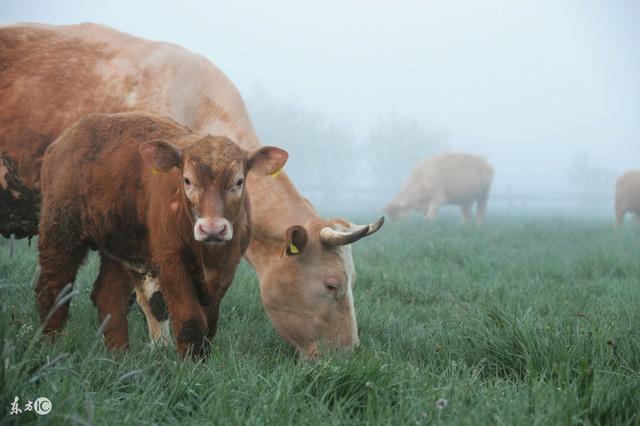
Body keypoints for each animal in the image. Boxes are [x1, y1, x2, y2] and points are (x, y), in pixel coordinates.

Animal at [37, 112, 288, 356]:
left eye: (239, 181)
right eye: (187, 180)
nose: (212, 229)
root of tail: (65, 138)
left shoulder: (227, 267)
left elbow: (210, 324)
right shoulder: (170, 262)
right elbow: (191, 322)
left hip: (119, 246)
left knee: (109, 296)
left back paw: (118, 356)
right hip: (59, 231)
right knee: (53, 288)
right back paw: (50, 345)